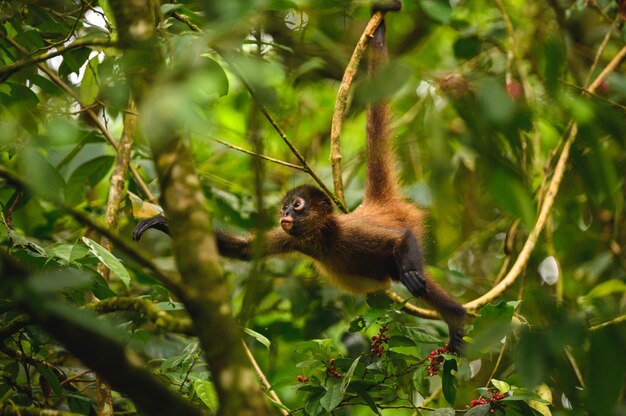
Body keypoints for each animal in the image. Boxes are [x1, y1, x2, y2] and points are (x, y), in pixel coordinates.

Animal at [133, 1, 464, 356]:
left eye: (297, 205)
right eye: (284, 208)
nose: (284, 215)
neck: (323, 236)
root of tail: (377, 204)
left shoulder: (348, 233)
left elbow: (401, 239)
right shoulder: (293, 238)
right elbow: (246, 251)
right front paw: (161, 222)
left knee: (413, 275)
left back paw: (455, 315)